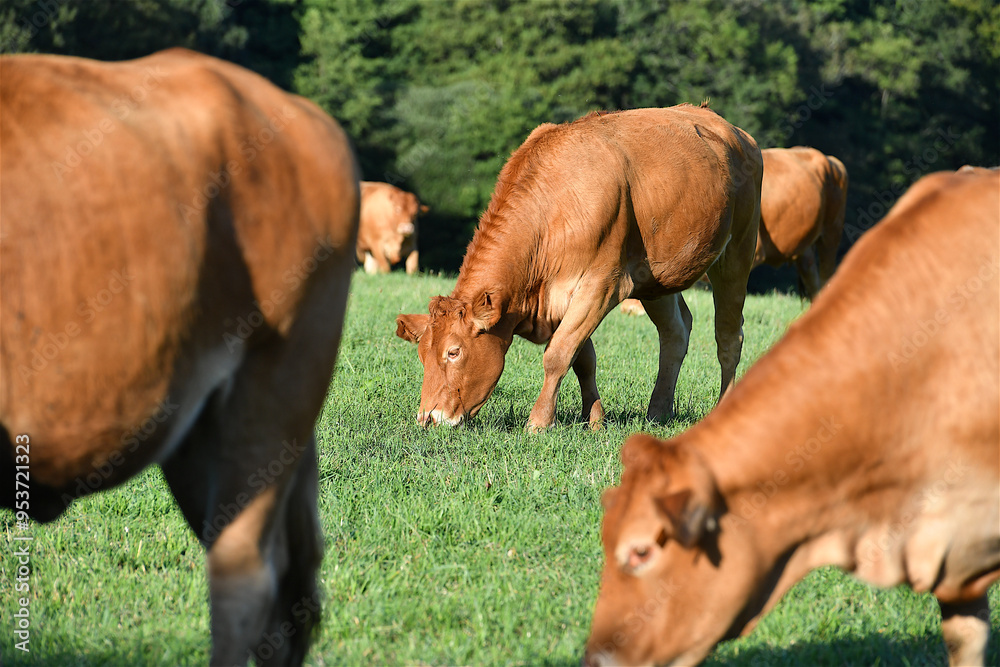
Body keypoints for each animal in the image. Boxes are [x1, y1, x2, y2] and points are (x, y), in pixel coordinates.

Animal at [395, 104, 762, 432]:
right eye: (422, 355)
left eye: (454, 352)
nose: (428, 418)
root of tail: (733, 131)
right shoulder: (565, 298)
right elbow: (583, 359)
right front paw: (595, 420)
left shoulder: (601, 286)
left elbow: (558, 354)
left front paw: (539, 422)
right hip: (657, 278)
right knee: (675, 333)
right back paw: (657, 412)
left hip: (737, 252)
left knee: (729, 337)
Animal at [620, 145, 848, 315]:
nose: (627, 309)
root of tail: (830, 160)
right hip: (805, 245)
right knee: (811, 276)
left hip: (832, 232)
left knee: (826, 274)